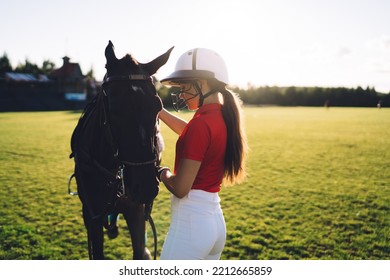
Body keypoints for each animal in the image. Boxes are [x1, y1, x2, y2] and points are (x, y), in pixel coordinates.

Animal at [70, 40, 174, 260]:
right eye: (115, 108)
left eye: (158, 106)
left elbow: (138, 246)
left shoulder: (135, 208)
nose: (146, 188)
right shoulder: (90, 213)